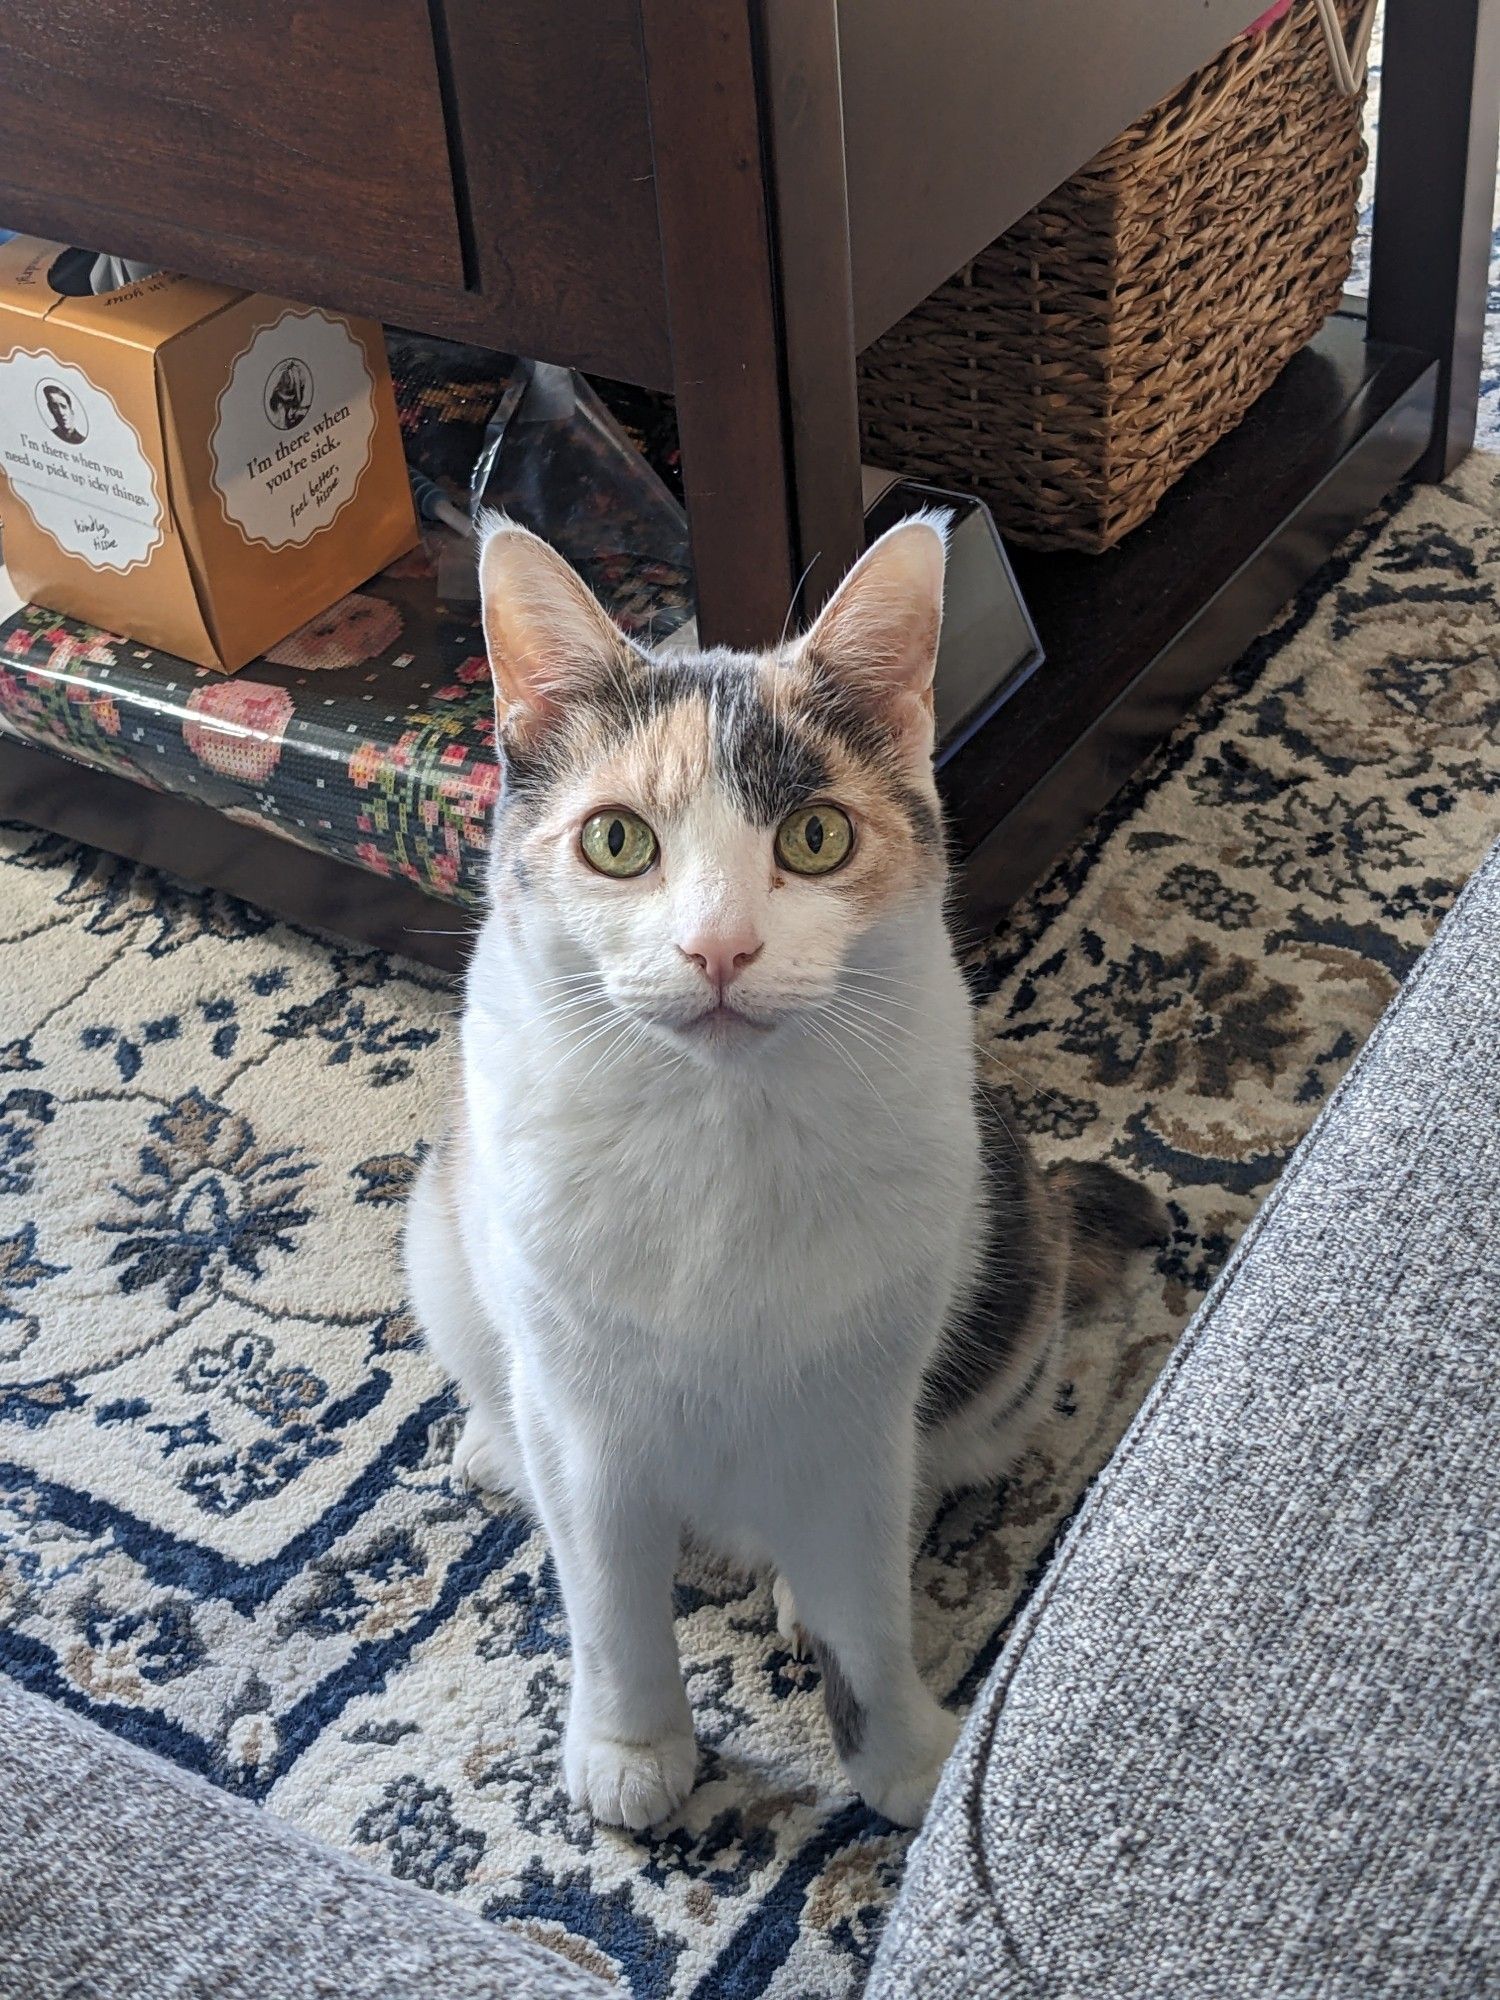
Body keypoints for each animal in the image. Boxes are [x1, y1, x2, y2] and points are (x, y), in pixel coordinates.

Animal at [406, 516, 1168, 1832]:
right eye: (617, 839)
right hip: (444, 1241)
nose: (719, 946)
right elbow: (607, 1597)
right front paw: (631, 1743)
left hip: (1006, 1322)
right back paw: (496, 1448)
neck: (718, 1132)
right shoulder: (586, 1409)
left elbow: (869, 1601)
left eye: (815, 836)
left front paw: (906, 1759)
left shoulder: (857, 1410)